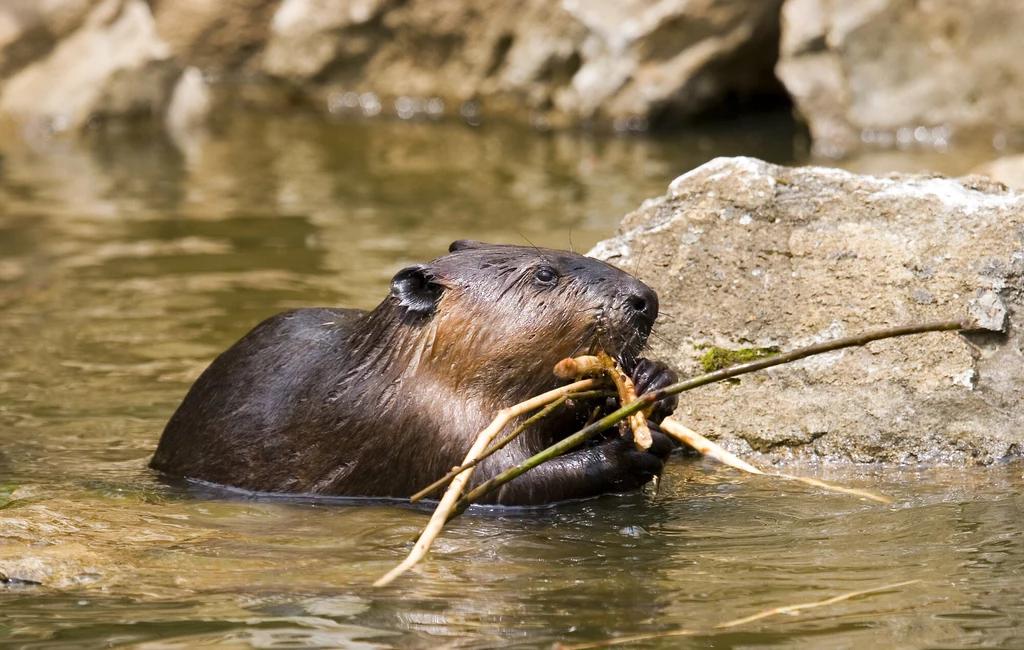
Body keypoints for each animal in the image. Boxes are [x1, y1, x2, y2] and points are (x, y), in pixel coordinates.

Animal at [149, 241, 679, 505]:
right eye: (545, 274)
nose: (646, 298)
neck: (394, 363)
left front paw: (654, 381)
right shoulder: (425, 423)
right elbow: (496, 482)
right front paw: (629, 449)